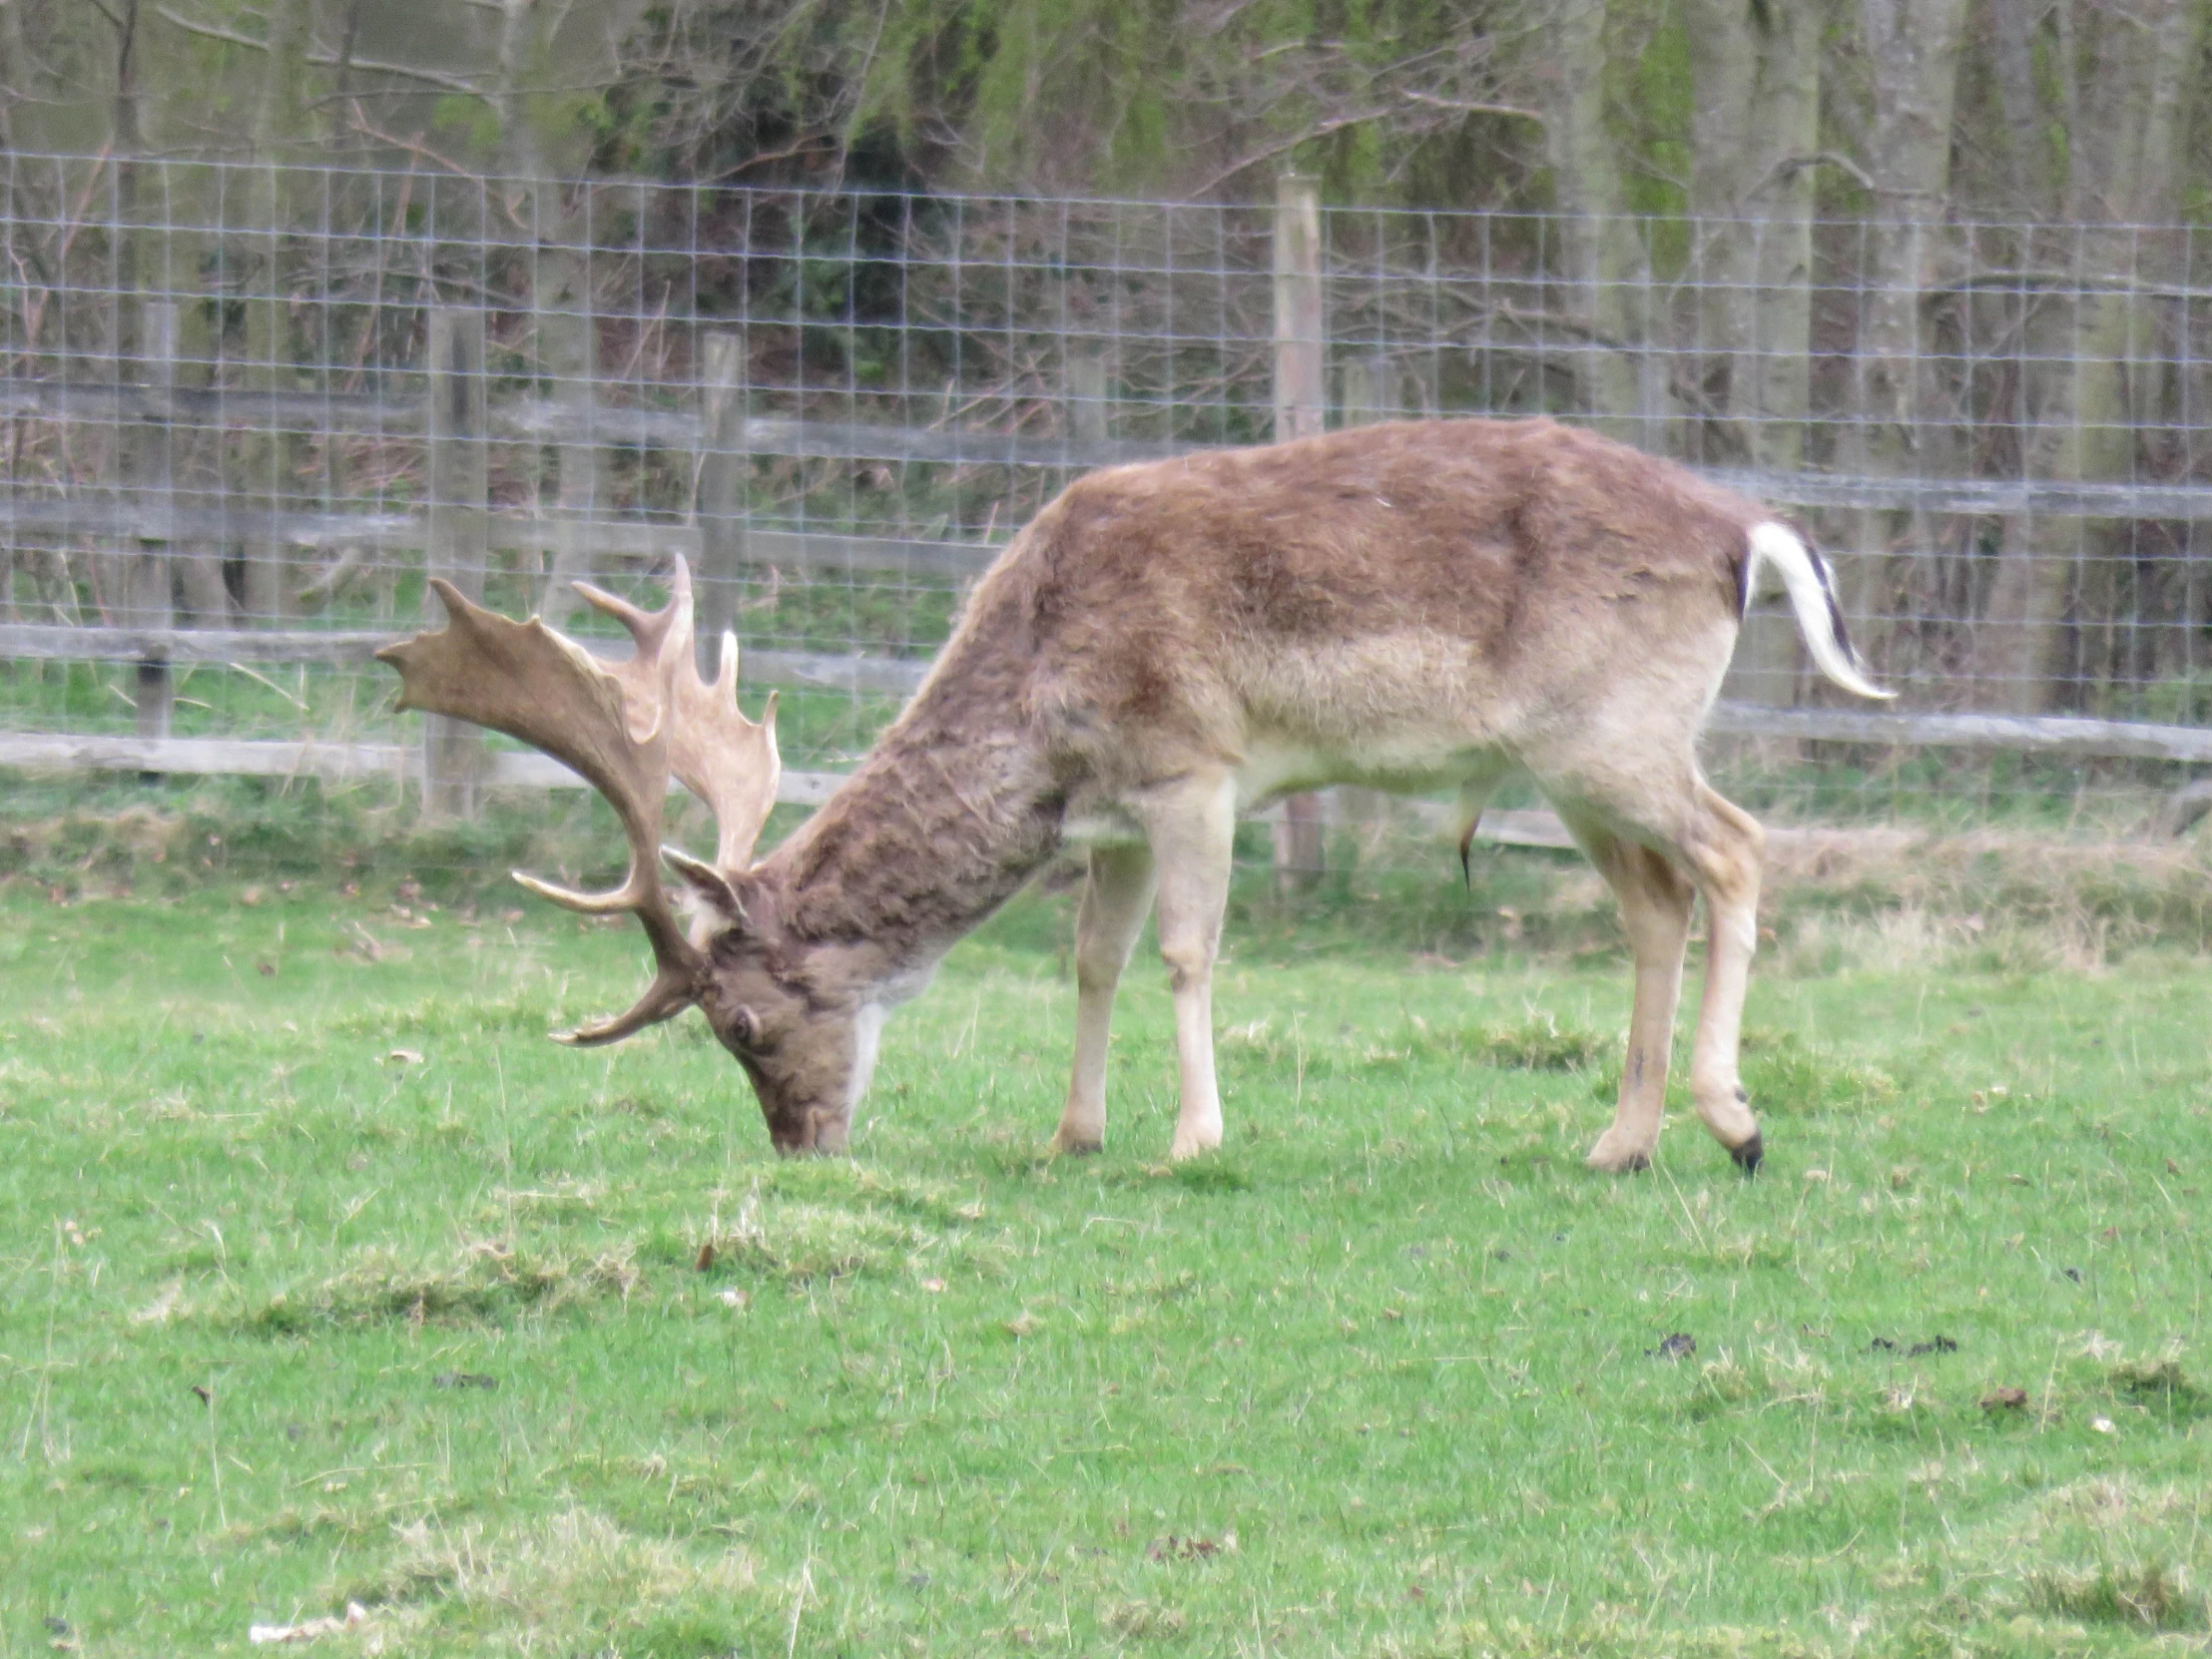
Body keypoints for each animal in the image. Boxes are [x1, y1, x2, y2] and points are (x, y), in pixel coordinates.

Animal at [375, 422, 1885, 1185]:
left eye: (740, 1023)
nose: (802, 1145)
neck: (1040, 702)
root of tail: (1750, 532)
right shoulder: (1105, 819)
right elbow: (1093, 961)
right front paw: (1072, 1132)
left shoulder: (1194, 764)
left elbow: (1185, 952)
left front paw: (1195, 1137)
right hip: (1571, 770)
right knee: (1655, 902)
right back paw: (1617, 1141)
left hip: (1612, 734)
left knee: (1739, 850)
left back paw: (1735, 1119)